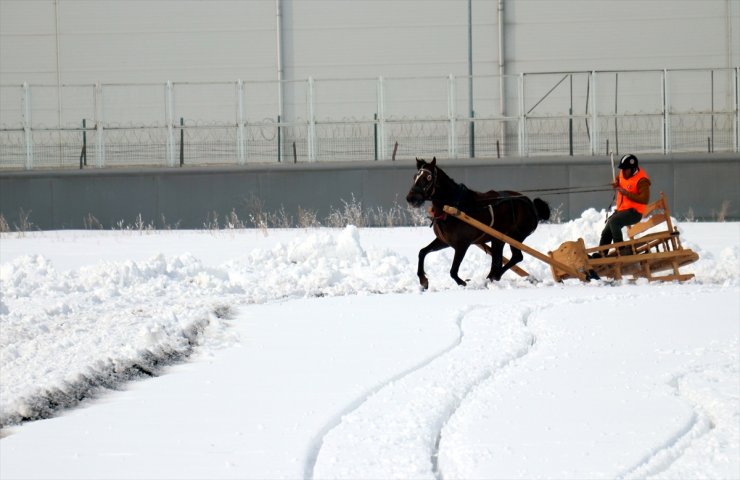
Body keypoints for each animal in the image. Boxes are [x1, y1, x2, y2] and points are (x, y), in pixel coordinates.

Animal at [404, 158, 548, 288]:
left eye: (428, 177)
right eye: (415, 177)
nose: (411, 198)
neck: (454, 207)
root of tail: (531, 204)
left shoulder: (462, 244)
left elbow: (453, 271)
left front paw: (462, 282)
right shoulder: (444, 241)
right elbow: (422, 252)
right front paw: (423, 280)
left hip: (515, 237)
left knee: (517, 257)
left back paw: (494, 276)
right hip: (498, 239)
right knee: (498, 259)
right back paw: (491, 277)